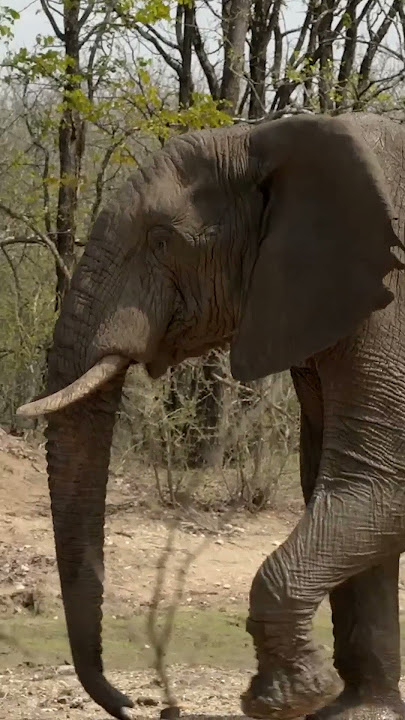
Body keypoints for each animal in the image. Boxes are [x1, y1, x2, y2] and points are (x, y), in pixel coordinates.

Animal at [17, 112, 405, 720]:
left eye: (161, 241)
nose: (140, 705)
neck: (267, 138)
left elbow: (378, 481)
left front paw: (287, 699)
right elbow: (337, 483)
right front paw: (358, 710)